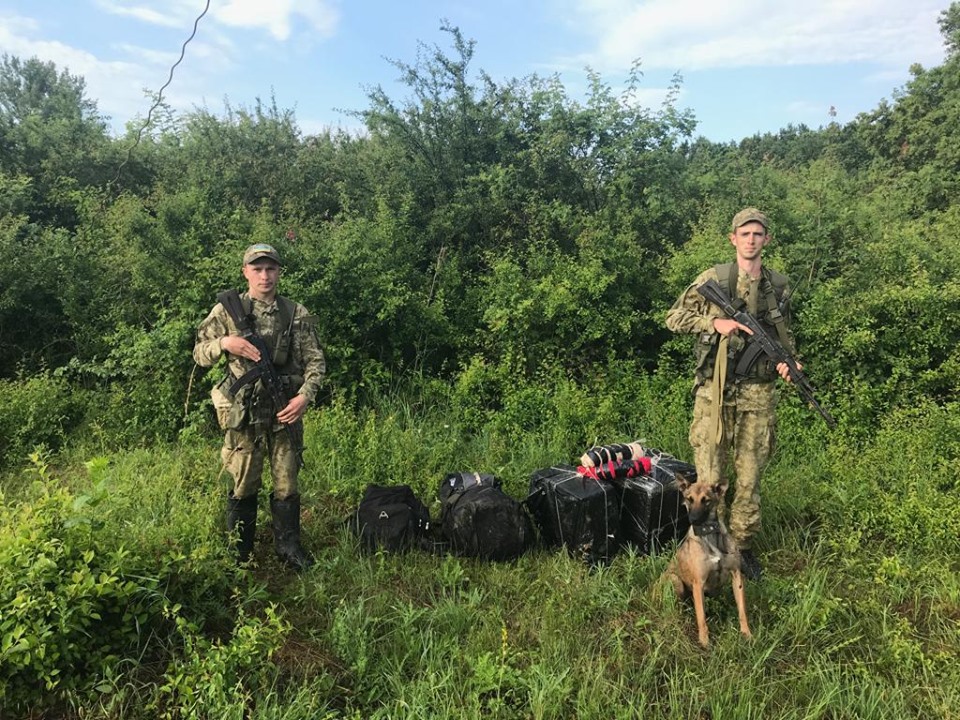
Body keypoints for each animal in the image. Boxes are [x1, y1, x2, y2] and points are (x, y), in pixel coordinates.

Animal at [664, 472, 752, 648]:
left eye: (707, 500)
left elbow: (742, 610)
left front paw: (746, 633)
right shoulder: (698, 583)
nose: (693, 519)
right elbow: (701, 618)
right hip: (675, 580)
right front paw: (704, 641)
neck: (709, 534)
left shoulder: (736, 576)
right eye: (689, 499)